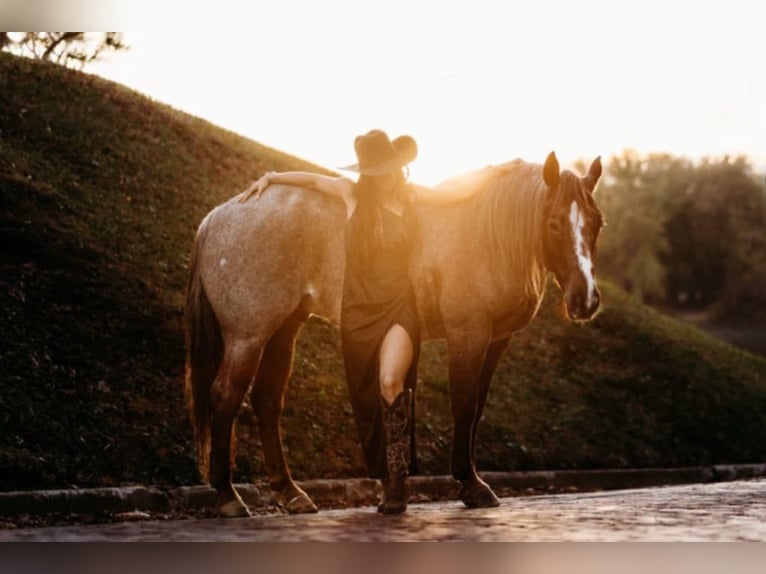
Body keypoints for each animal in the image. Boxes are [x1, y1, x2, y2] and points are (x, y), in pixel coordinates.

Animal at [186, 152, 608, 516]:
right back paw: (228, 496)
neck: (489, 235)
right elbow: (464, 404)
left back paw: (291, 493)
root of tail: (217, 217)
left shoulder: (496, 340)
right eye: (553, 222)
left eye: (596, 222)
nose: (585, 299)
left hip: (284, 327)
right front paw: (471, 484)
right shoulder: (468, 333)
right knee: (226, 396)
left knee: (267, 400)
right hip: (249, 335)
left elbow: (477, 409)